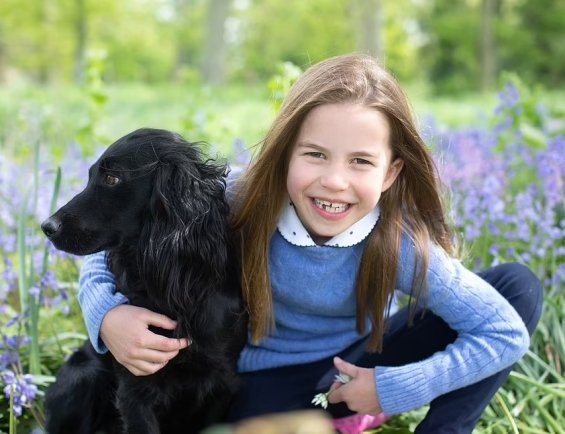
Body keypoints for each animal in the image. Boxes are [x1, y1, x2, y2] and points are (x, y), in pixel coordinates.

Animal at [40, 129, 248, 434]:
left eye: (112, 178)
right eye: (90, 175)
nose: (47, 227)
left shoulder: (223, 384)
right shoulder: (135, 387)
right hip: (83, 374)